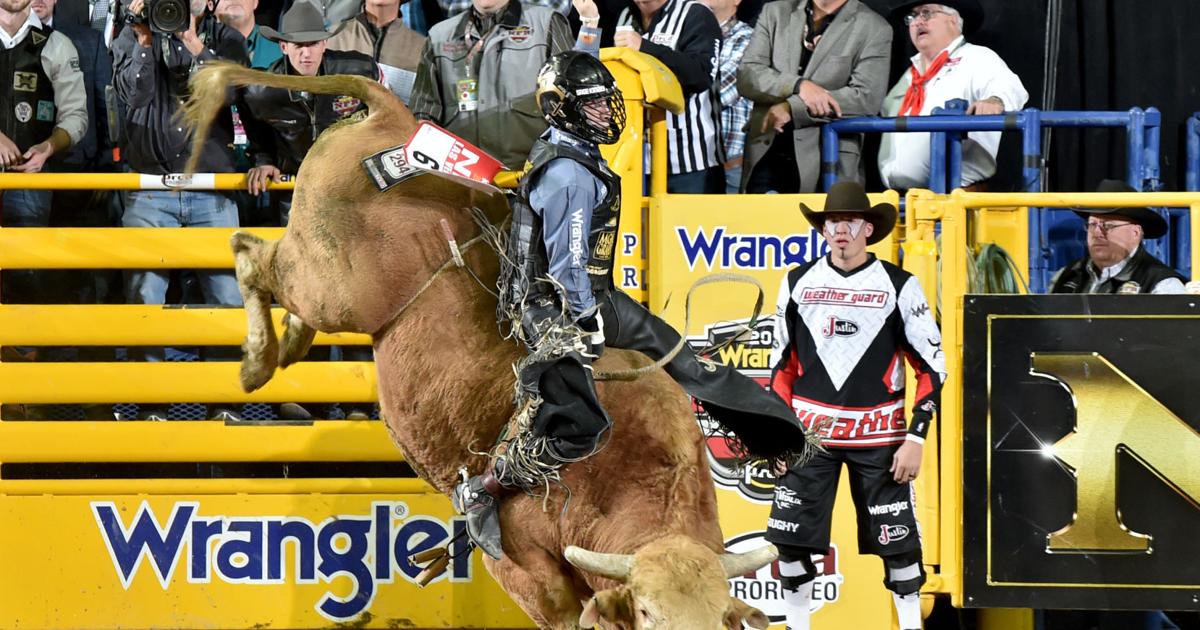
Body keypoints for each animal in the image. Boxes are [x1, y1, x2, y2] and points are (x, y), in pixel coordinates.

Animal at [182, 62, 777, 629]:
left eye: (722, 620)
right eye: (649, 613)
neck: (623, 471)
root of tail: (390, 113)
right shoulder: (525, 570)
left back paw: (287, 346)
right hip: (331, 283)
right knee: (251, 253)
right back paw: (257, 364)